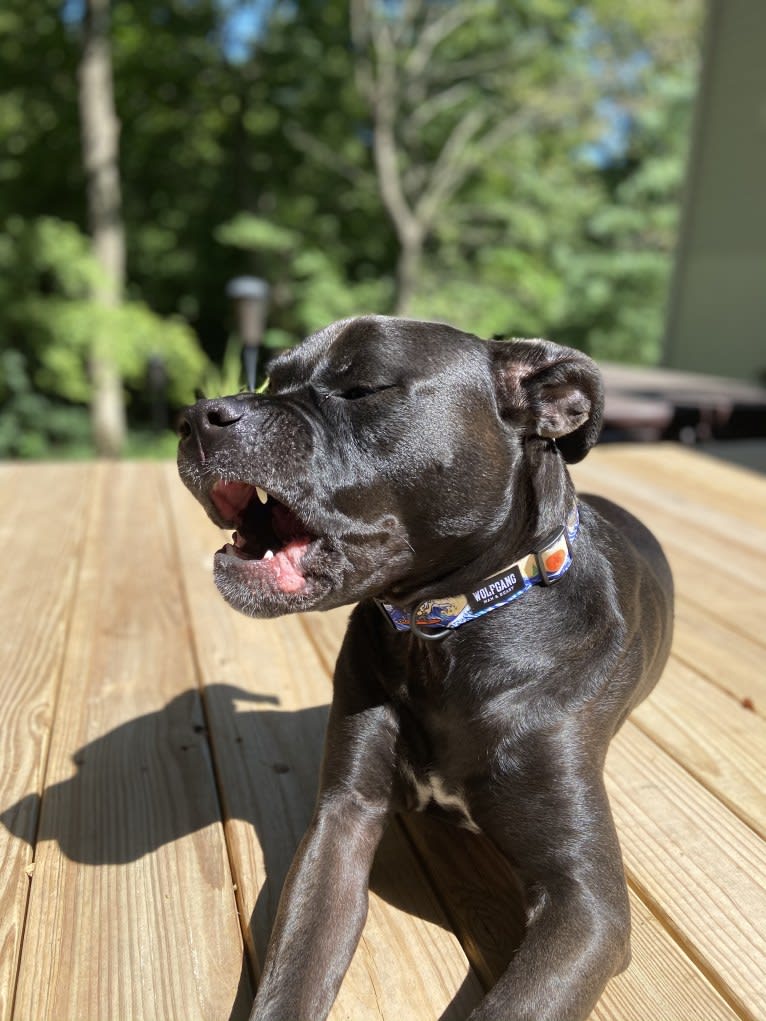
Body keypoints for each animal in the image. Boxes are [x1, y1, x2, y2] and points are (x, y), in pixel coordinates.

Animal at [176, 314, 674, 1016]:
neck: (444, 635)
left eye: (362, 389)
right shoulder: (343, 820)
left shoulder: (585, 903)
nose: (196, 416)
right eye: (272, 381)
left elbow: (514, 1004)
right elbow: (293, 973)